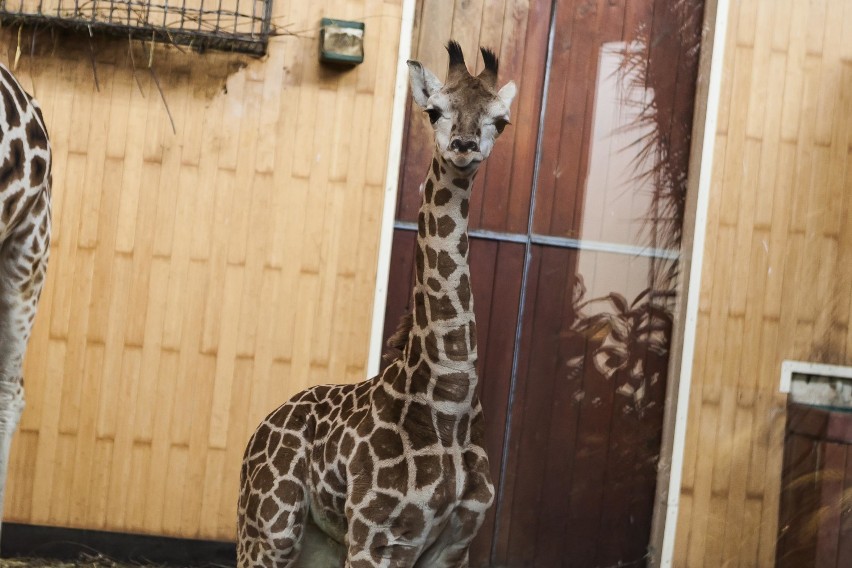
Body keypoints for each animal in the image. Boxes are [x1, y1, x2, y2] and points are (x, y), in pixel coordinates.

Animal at [238, 42, 520, 564]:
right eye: (434, 111)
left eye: (501, 120)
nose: (464, 147)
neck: (448, 406)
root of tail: (261, 425)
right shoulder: (380, 538)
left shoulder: (456, 546)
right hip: (271, 530)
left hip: (322, 543)